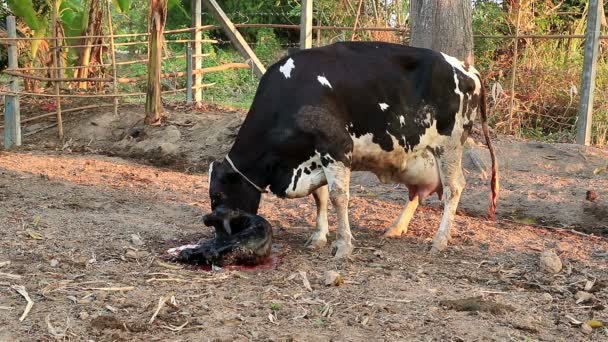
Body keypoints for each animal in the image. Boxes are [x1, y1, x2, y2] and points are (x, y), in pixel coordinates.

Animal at [191, 40, 498, 260]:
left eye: (217, 195)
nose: (219, 241)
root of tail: (466, 67)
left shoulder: (336, 148)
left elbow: (339, 197)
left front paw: (343, 245)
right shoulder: (314, 157)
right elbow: (320, 197)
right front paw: (319, 236)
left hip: (450, 143)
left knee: (454, 187)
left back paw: (439, 240)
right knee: (418, 192)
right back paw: (396, 228)